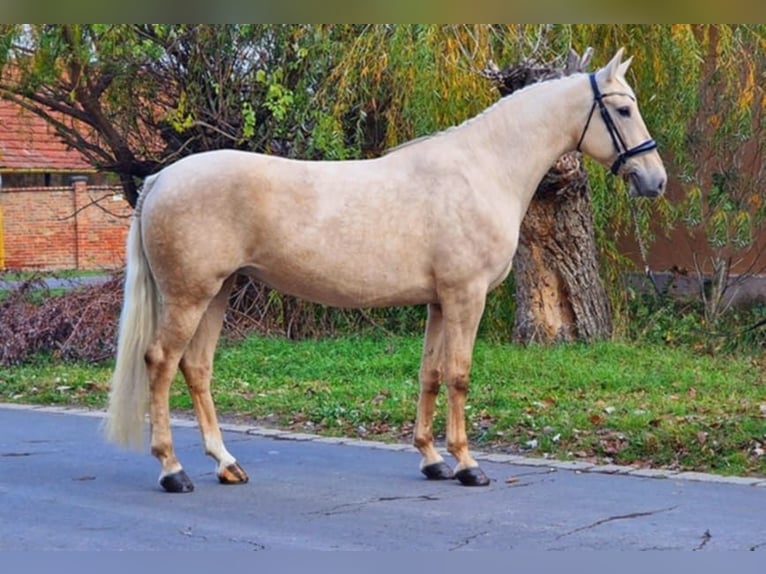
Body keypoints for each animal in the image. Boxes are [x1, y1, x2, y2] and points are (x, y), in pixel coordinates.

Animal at [105, 48, 666, 492]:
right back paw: (172, 470)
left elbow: (431, 374)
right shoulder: (466, 296)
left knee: (196, 368)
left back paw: (226, 464)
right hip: (189, 295)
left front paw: (433, 460)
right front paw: (468, 465)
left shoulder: (440, 300)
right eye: (623, 109)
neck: (482, 169)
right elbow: (459, 375)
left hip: (217, 292)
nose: (654, 180)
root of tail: (161, 179)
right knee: (160, 363)